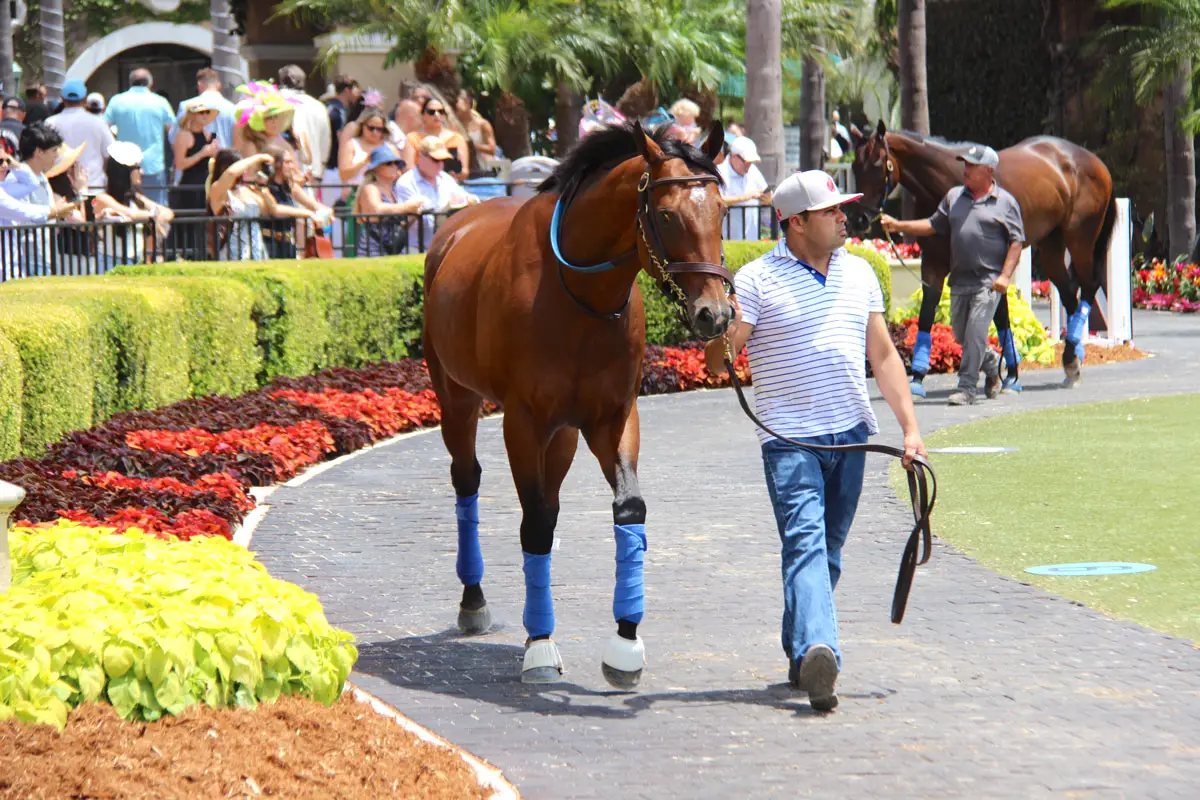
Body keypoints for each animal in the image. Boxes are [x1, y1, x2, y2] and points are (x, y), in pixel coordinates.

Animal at [421, 121, 733, 687]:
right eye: (666, 214)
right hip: (455, 394)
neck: (579, 295)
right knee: (468, 479)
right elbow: (534, 525)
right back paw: (474, 599)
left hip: (563, 431)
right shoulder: (523, 422)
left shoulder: (612, 417)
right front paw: (540, 645)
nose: (714, 315)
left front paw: (625, 644)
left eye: (721, 209)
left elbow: (628, 508)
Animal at [848, 121, 1117, 390]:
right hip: (1051, 244)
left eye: (877, 163)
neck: (946, 183)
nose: (858, 219)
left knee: (1088, 286)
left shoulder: (993, 264)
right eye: (854, 166)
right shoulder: (934, 261)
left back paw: (1071, 356)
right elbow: (927, 315)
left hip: (1080, 240)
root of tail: (1095, 162)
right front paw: (917, 378)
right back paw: (1073, 359)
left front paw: (1008, 373)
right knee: (1070, 295)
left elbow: (998, 317)